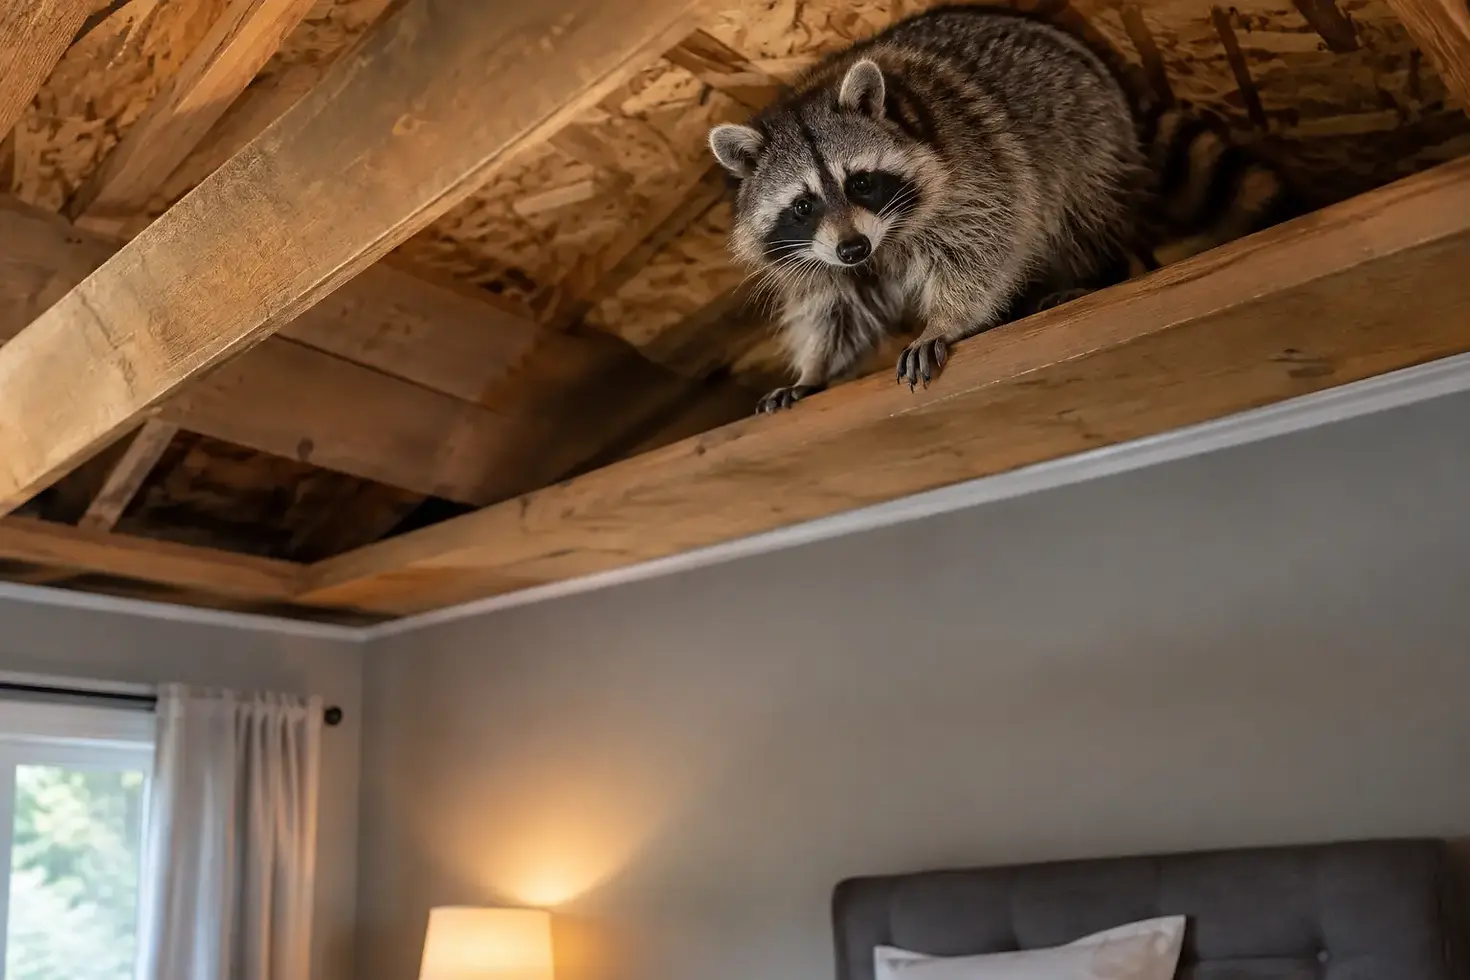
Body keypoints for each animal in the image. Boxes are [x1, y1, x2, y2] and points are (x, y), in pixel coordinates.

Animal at [709, 6, 1151, 413]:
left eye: (861, 183)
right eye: (803, 205)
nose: (853, 249)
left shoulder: (974, 165)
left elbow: (986, 239)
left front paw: (944, 321)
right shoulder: (818, 256)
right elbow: (832, 308)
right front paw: (814, 368)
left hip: (1092, 131)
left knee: (1085, 211)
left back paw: (1092, 271)